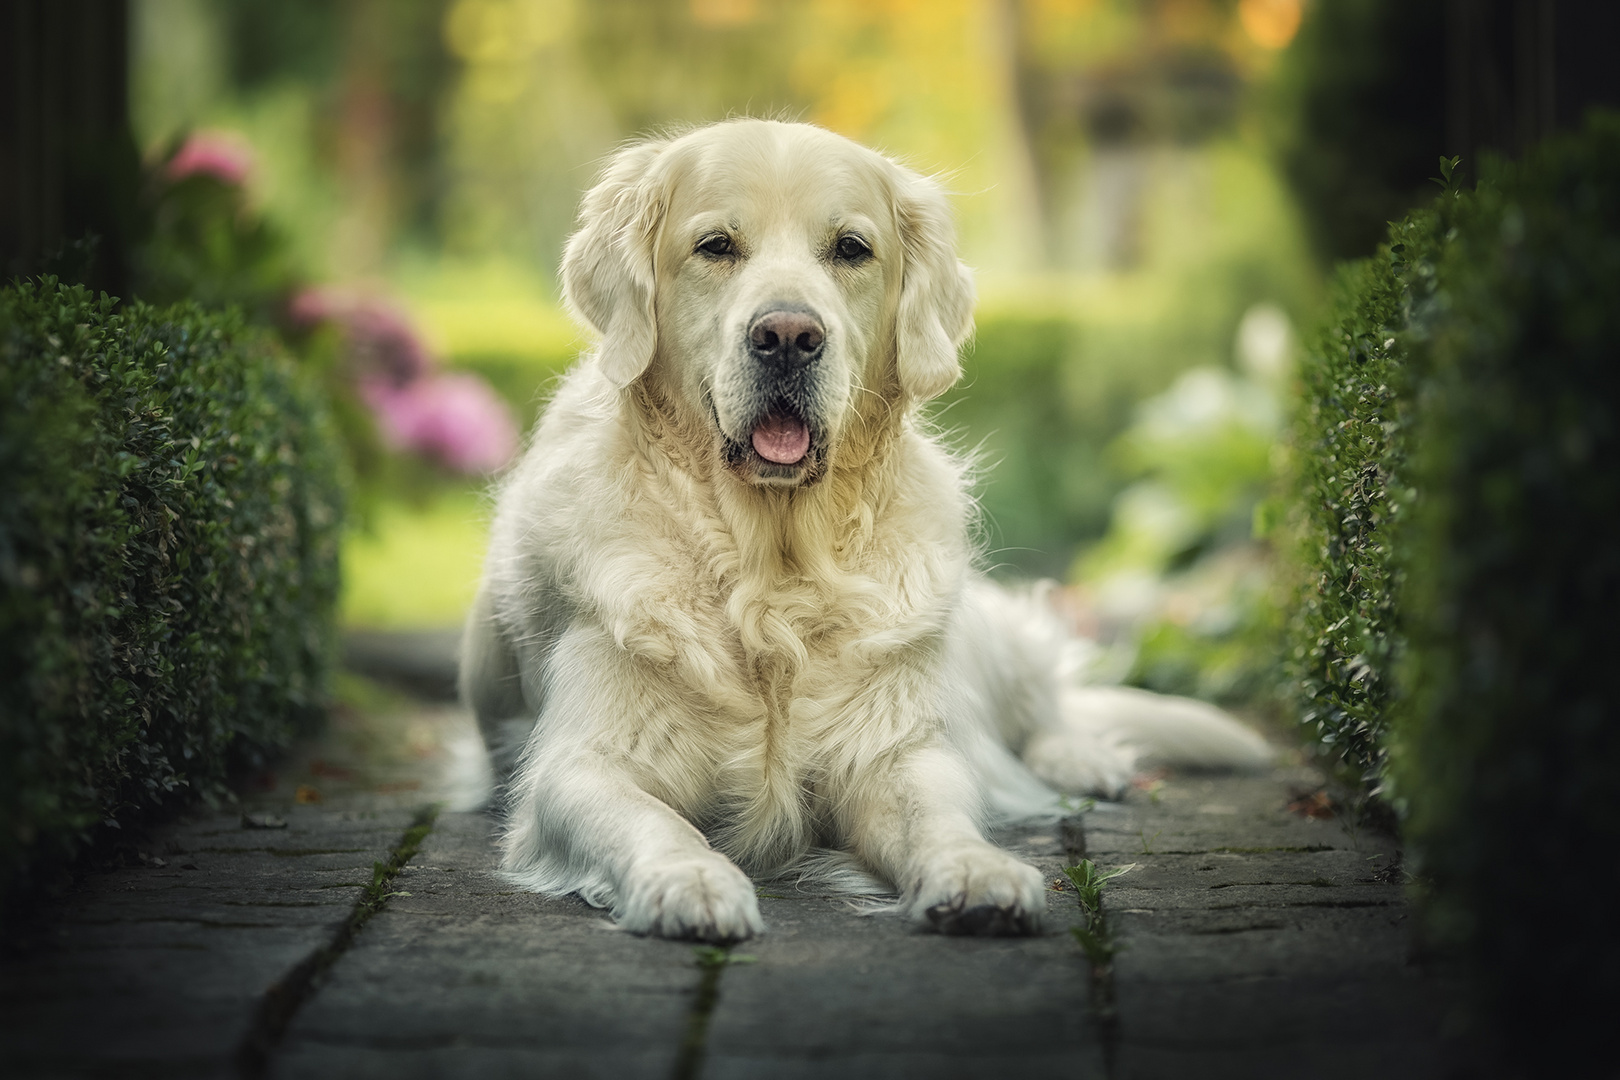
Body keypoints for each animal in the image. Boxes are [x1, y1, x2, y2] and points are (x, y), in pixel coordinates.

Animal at [463, 118, 1270, 939]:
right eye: (715, 246)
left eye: (851, 248)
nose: (788, 335)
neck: (774, 569)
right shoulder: (584, 761)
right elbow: (652, 820)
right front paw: (689, 878)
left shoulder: (895, 747)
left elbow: (936, 813)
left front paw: (977, 871)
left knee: (1045, 704)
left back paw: (1082, 759)